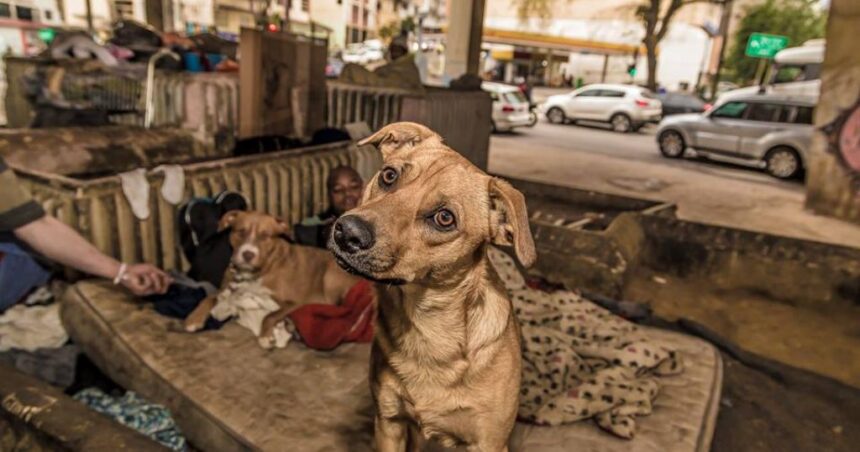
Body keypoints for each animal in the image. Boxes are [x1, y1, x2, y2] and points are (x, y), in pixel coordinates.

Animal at [185, 211, 360, 350]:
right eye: (241, 232)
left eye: (265, 236)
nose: (248, 254)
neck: (257, 272)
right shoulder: (226, 292)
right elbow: (209, 298)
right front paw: (194, 319)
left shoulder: (294, 302)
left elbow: (270, 315)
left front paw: (265, 337)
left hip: (330, 278)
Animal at [328, 122, 536, 450]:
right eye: (389, 176)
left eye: (444, 218)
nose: (347, 232)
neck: (427, 329)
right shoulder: (389, 423)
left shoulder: (489, 441)